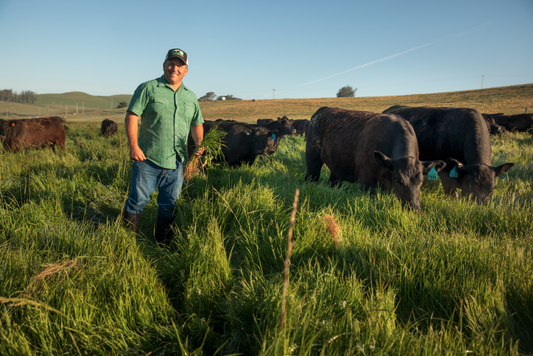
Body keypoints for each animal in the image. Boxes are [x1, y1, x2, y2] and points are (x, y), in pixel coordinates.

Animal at [304, 107, 444, 213]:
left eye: (421, 181)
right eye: (398, 180)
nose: (414, 209)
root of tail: (322, 110)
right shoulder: (367, 180)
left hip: (337, 168)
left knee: (333, 183)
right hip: (312, 160)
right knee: (311, 178)